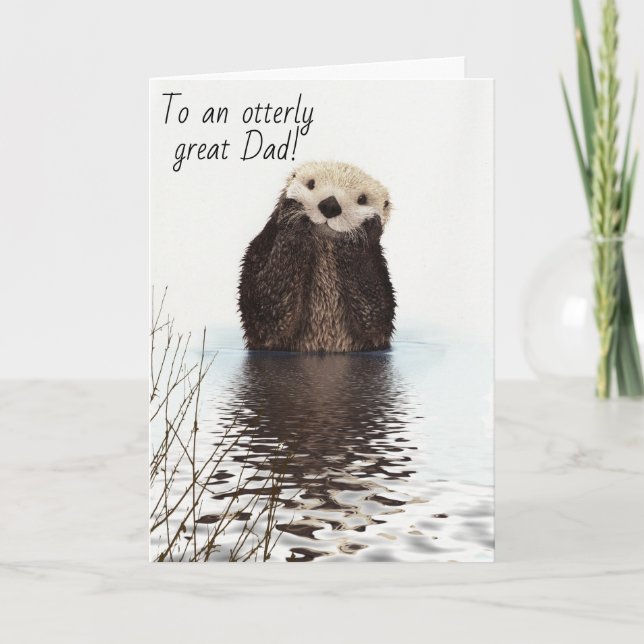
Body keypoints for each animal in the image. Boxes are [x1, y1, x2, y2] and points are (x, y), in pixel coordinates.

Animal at [238, 161, 395, 352]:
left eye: (362, 199)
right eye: (311, 184)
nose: (330, 205)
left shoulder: (378, 271)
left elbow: (375, 315)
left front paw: (363, 231)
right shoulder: (259, 250)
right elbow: (265, 308)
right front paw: (293, 214)